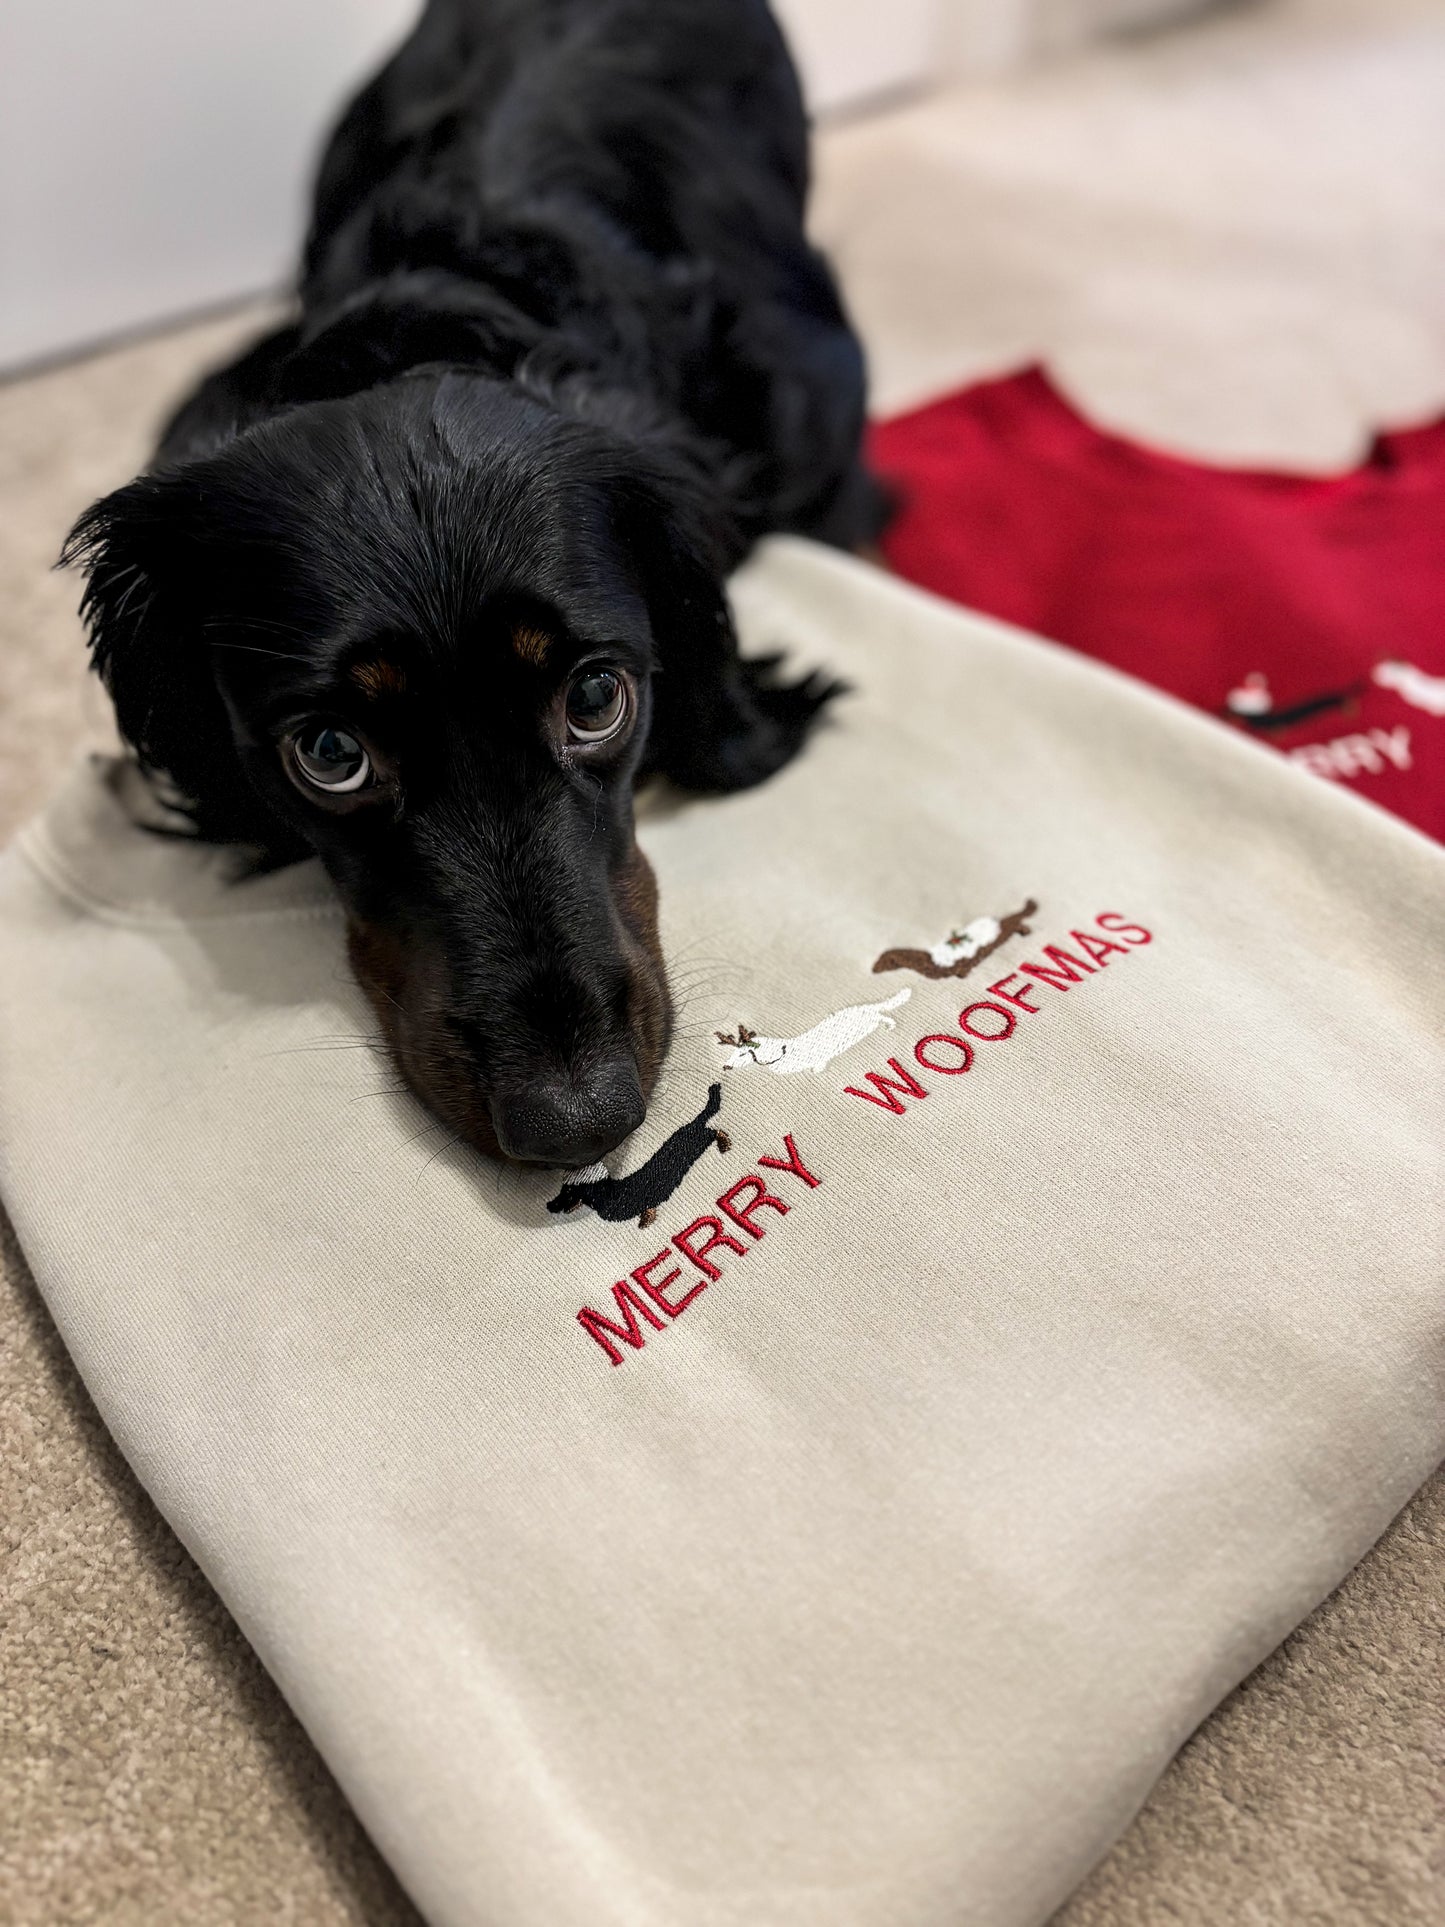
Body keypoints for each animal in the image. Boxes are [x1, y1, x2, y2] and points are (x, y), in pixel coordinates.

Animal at [554, 1079, 735, 1225]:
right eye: (563, 1190)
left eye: (567, 1192)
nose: (550, 1206)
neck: (609, 1193)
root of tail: (691, 1125)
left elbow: (647, 1211)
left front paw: (646, 1221)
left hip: (698, 1141)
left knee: (712, 1131)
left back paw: (724, 1143)